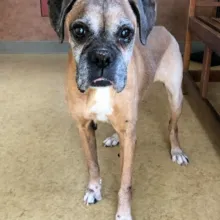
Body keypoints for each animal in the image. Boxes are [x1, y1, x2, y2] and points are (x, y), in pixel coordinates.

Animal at [47, 0, 188, 219]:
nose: (102, 57)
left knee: (173, 127)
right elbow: (93, 165)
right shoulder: (84, 127)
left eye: (125, 32)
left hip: (175, 97)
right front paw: (93, 190)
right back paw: (114, 137)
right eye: (79, 30)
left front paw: (123, 212)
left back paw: (176, 150)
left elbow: (125, 183)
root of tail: (162, 28)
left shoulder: (129, 139)